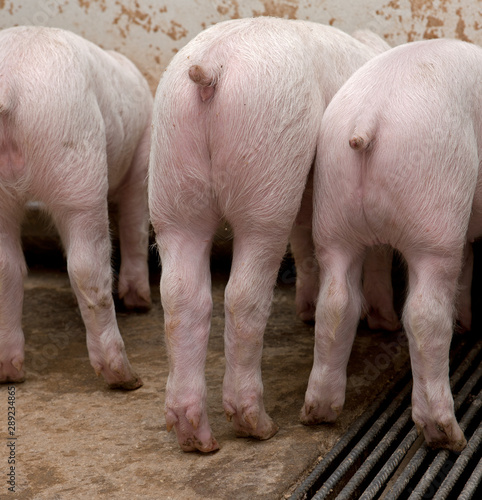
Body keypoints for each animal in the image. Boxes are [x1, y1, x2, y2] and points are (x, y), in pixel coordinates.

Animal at [0, 25, 153, 388]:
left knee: (6, 266)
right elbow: (136, 225)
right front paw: (141, 303)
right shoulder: (141, 158)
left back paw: (9, 373)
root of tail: (9, 82)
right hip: (78, 162)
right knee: (87, 267)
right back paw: (127, 379)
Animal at [149, 16, 390, 454]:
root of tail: (212, 67)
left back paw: (197, 440)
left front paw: (307, 312)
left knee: (180, 298)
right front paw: (385, 323)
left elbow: (305, 243)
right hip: (268, 174)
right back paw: (260, 427)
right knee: (243, 296)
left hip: (172, 180)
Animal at [306, 38, 482, 454]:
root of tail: (368, 119)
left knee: (335, 304)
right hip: (435, 218)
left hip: (332, 213)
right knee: (424, 314)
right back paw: (448, 436)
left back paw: (318, 412)